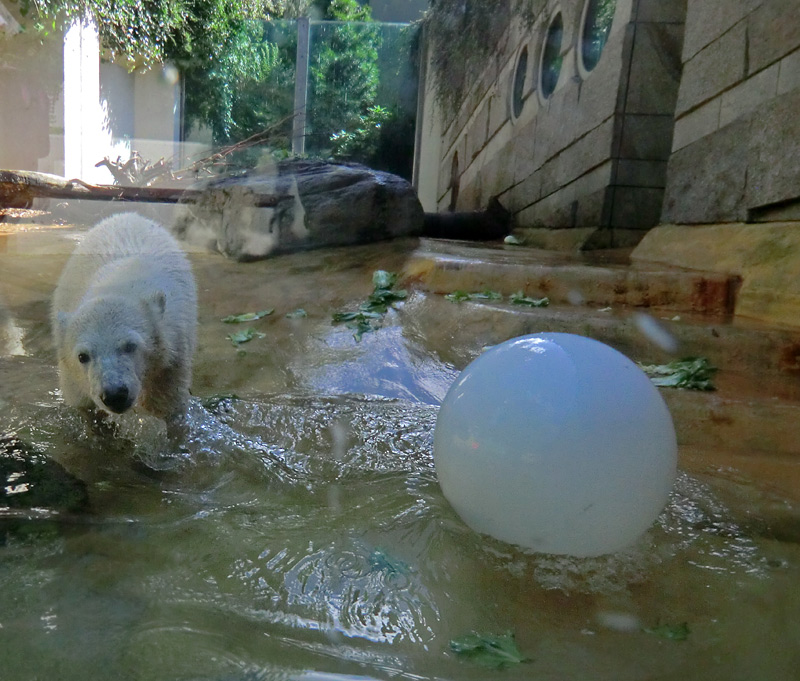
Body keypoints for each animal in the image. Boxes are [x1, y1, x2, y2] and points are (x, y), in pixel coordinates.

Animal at [52, 214, 198, 436]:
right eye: (82, 356)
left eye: (130, 345)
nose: (114, 395)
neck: (117, 283)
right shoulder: (73, 376)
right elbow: (84, 405)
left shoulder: (171, 361)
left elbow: (168, 407)